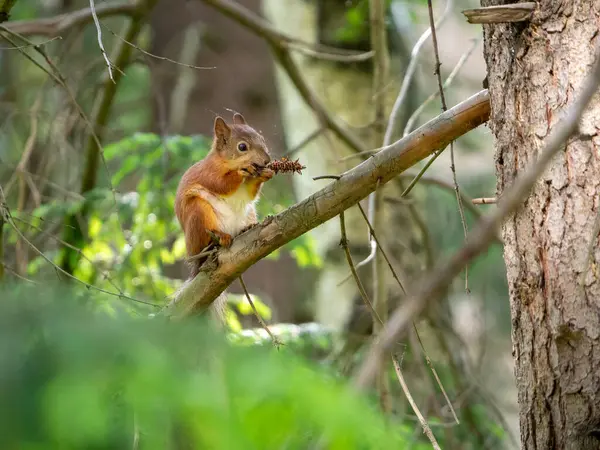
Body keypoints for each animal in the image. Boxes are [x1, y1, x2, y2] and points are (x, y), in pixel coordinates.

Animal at [175, 112, 276, 284]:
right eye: (242, 147)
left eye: (261, 139)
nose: (267, 161)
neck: (227, 163)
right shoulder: (208, 173)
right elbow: (222, 184)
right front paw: (242, 171)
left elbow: (249, 193)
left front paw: (266, 173)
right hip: (197, 212)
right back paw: (220, 237)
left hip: (249, 213)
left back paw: (246, 228)